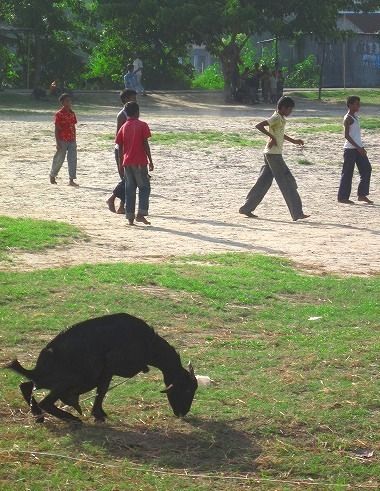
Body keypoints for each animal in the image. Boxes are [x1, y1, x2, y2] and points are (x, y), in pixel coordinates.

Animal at [5, 316, 199, 422]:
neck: (147, 344)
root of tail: (37, 369)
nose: (183, 413)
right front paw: (98, 414)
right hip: (70, 380)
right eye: (188, 390)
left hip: (45, 381)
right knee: (44, 400)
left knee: (26, 385)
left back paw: (38, 414)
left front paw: (99, 413)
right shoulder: (109, 365)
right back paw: (72, 418)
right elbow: (102, 390)